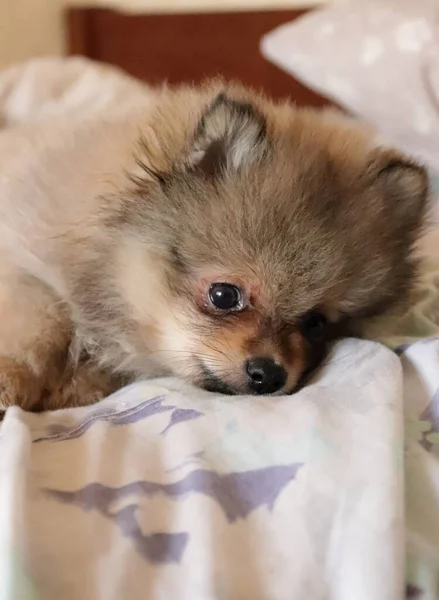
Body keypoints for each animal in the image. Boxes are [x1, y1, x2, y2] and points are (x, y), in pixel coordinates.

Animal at [0, 79, 430, 410]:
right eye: (224, 295)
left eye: (316, 323)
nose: (269, 373)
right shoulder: (26, 272)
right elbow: (37, 332)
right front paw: (11, 382)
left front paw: (76, 386)